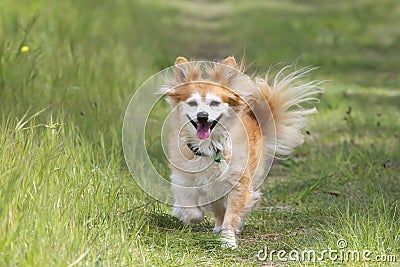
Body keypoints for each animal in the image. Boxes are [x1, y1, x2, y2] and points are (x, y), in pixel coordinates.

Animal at [158, 56, 324, 249]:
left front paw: (228, 239)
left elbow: (231, 214)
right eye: (192, 103)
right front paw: (182, 213)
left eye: (215, 103)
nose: (202, 116)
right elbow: (192, 210)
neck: (208, 146)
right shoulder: (182, 180)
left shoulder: (238, 184)